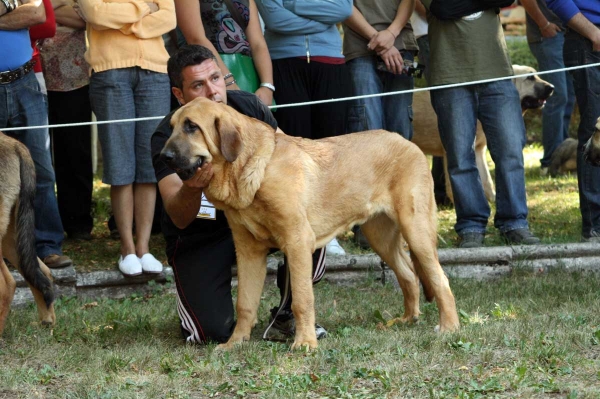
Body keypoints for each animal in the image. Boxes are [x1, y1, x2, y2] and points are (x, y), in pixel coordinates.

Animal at [159, 97, 460, 350]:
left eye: (191, 127)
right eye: (171, 127)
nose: (163, 157)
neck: (254, 169)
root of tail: (409, 143)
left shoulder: (298, 241)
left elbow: (302, 299)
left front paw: (304, 343)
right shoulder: (248, 251)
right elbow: (245, 303)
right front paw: (235, 343)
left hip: (416, 231)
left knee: (440, 278)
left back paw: (449, 327)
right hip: (381, 236)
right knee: (408, 274)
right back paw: (407, 320)